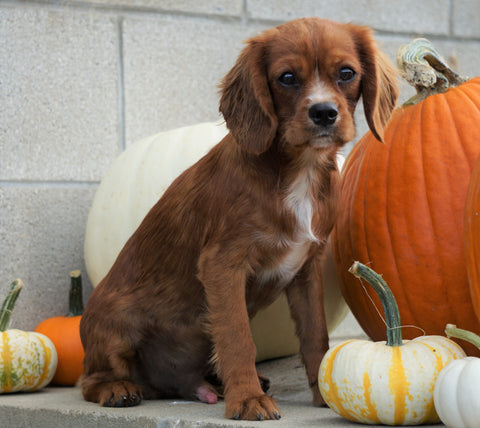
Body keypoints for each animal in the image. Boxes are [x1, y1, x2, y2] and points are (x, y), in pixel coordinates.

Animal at [81, 17, 398, 422]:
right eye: (287, 78)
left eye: (346, 73)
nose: (324, 112)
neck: (299, 169)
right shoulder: (223, 263)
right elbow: (237, 338)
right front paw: (247, 400)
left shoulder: (306, 268)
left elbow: (316, 336)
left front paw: (324, 394)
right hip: (115, 324)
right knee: (90, 379)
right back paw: (118, 389)